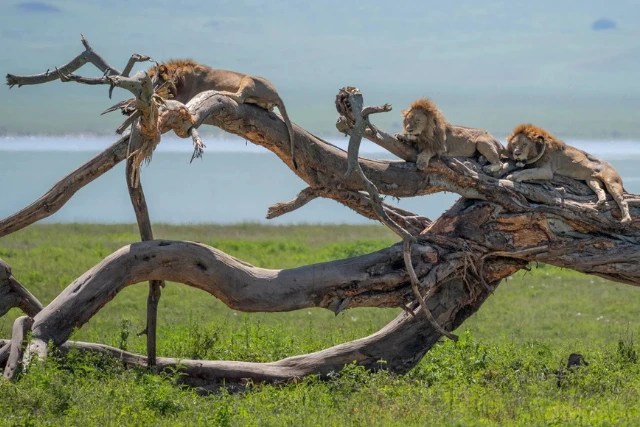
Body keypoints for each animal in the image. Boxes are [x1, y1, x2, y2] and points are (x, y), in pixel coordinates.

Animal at [103, 59, 297, 168]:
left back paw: (226, 93)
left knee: (240, 97)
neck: (177, 80)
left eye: (152, 78)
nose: (147, 88)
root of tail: (277, 94)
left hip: (248, 79)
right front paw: (126, 110)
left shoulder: (182, 98)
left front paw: (127, 111)